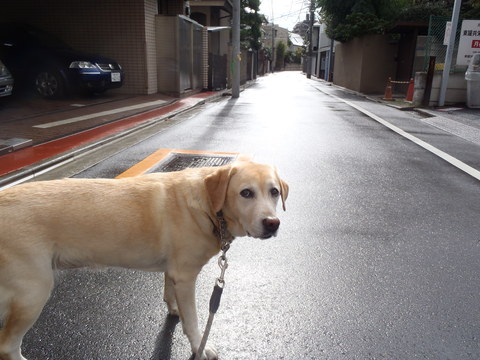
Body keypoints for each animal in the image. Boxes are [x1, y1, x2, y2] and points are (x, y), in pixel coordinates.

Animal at [0, 160, 288, 360]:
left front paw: (173, 310)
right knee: (7, 346)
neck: (208, 205)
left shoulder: (174, 272)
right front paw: (199, 346)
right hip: (33, 293)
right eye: (246, 193)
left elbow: (170, 293)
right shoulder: (186, 277)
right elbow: (194, 321)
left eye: (274, 192)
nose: (272, 223)